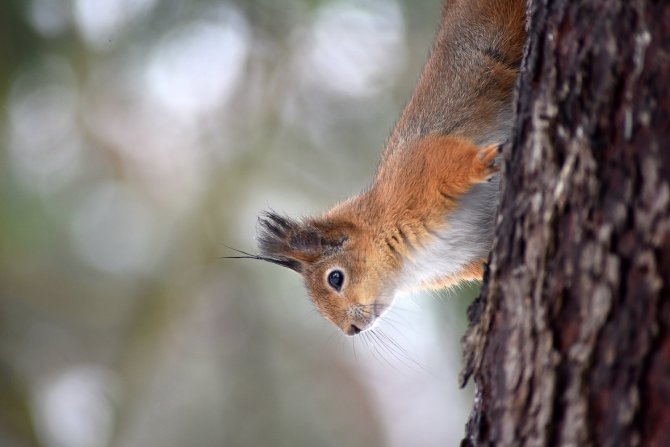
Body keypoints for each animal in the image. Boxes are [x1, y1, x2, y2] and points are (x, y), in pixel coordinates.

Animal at [236, 0, 532, 336]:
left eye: (335, 278)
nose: (351, 329)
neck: (409, 262)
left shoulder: (418, 170)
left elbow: (451, 162)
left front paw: (487, 161)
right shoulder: (461, 259)